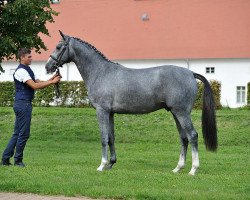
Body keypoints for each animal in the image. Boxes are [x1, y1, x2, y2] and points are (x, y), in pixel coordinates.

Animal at [45, 31, 217, 175]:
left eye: (59, 47)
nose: (48, 66)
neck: (100, 72)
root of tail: (190, 73)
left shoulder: (101, 111)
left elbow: (103, 137)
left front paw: (102, 165)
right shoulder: (110, 113)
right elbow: (111, 137)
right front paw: (111, 163)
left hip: (181, 113)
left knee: (192, 135)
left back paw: (193, 169)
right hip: (176, 113)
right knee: (184, 138)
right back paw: (178, 168)